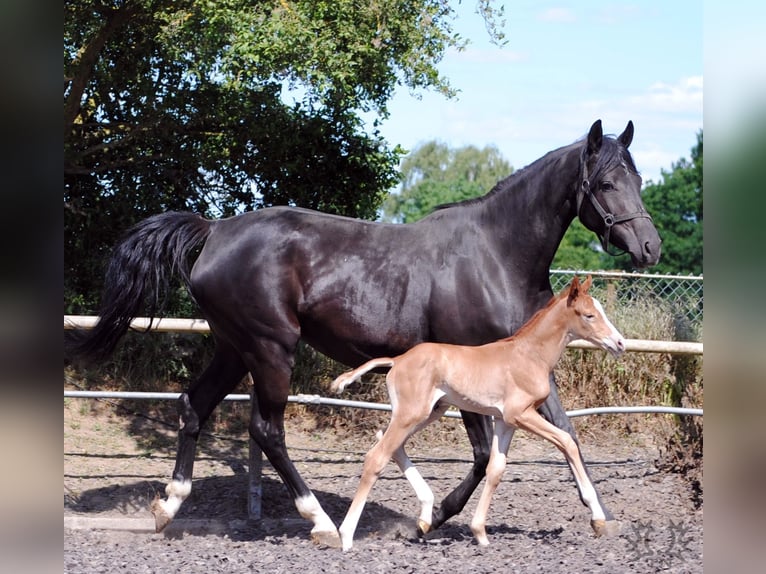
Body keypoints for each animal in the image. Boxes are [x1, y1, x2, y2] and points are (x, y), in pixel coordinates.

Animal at [332, 276, 628, 552]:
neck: (529, 355)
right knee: (376, 456)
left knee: (393, 447)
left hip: (429, 412)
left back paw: (426, 516)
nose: (620, 343)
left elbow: (496, 469)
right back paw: (346, 536)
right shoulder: (521, 414)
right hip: (411, 414)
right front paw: (598, 517)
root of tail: (398, 360)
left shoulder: (505, 421)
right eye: (589, 315)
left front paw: (480, 533)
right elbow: (567, 441)